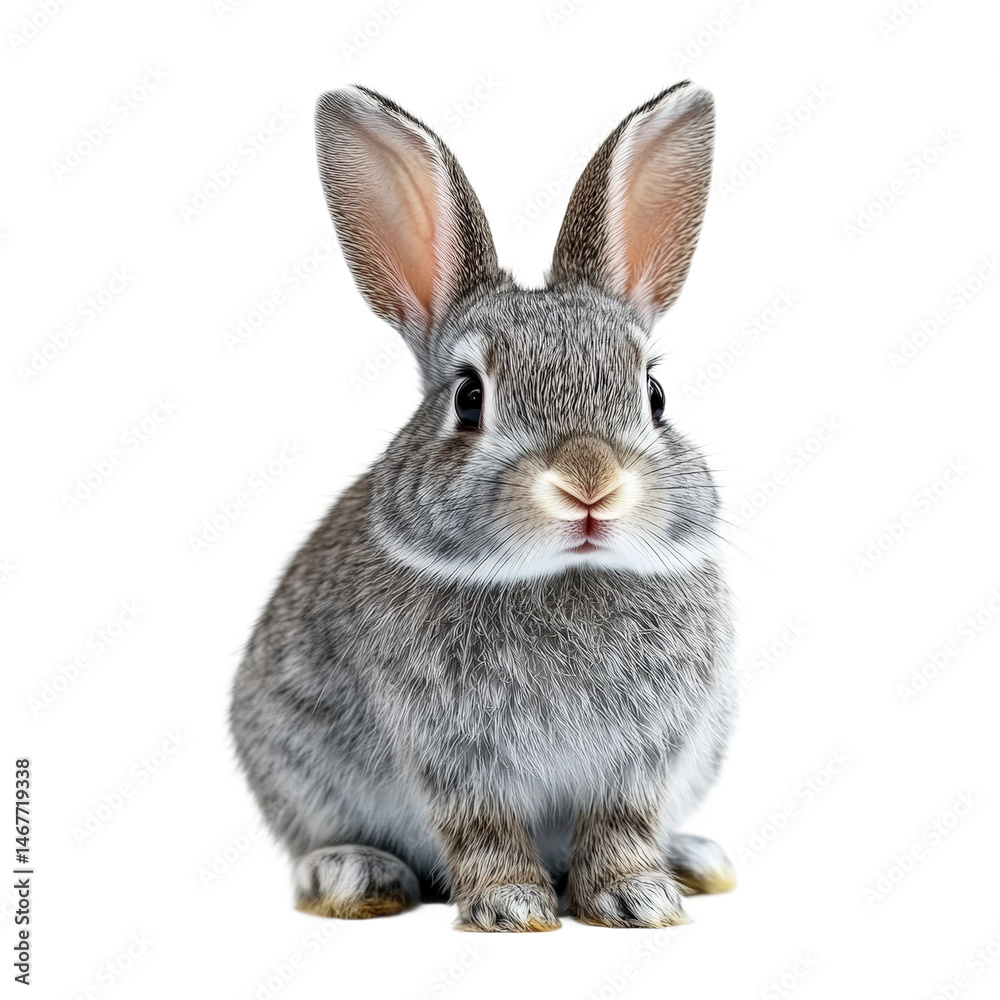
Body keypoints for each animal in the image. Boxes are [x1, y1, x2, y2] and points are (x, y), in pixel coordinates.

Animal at [230, 80, 737, 932]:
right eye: (469, 398)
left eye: (655, 395)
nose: (589, 482)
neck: (563, 577)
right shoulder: (455, 756)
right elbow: (482, 828)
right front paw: (513, 906)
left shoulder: (643, 758)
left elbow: (622, 825)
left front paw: (637, 896)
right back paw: (353, 875)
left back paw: (697, 860)